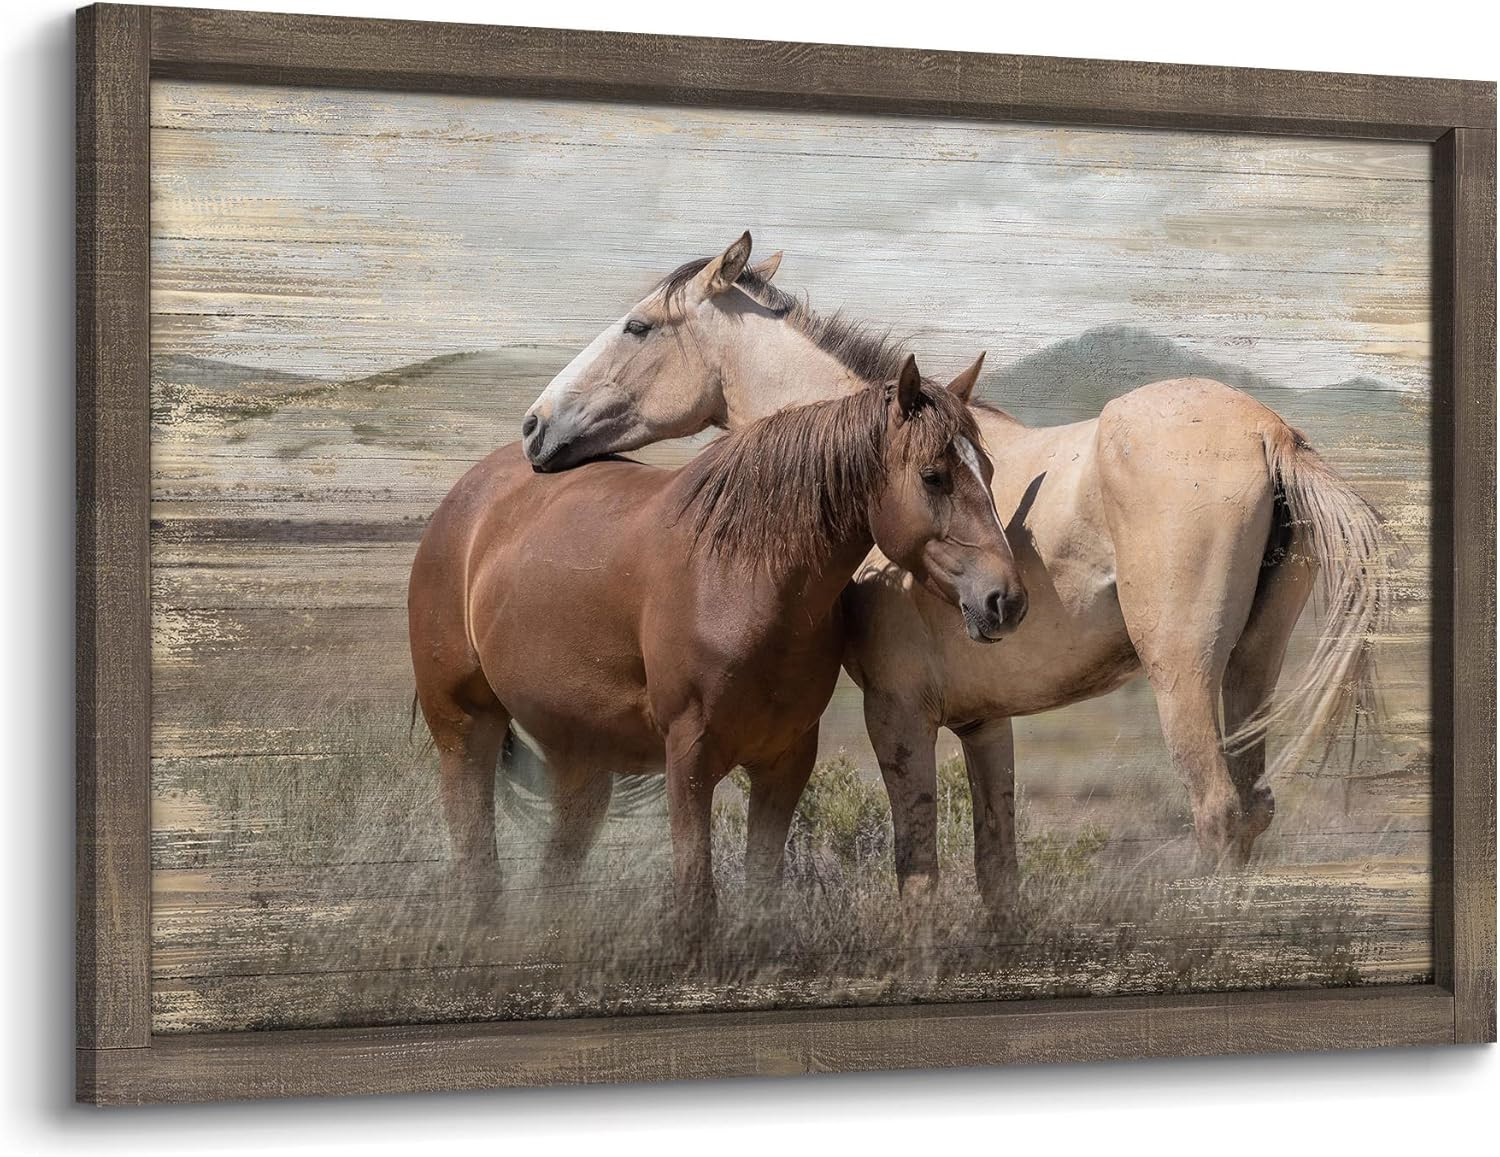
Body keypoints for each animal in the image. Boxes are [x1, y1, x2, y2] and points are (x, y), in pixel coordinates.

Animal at [409, 352, 1025, 922]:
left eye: (989, 472)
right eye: (933, 475)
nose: (1007, 600)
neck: (744, 575)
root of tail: (465, 501)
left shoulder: (785, 761)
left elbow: (761, 895)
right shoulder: (689, 758)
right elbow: (697, 900)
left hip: (580, 758)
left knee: (553, 880)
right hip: (465, 728)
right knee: (478, 868)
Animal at [521, 232, 1388, 914]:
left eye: (637, 325)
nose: (534, 427)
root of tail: (1271, 433)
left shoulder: (899, 712)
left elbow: (919, 871)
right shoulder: (984, 720)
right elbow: (995, 866)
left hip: (1183, 674)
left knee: (1217, 811)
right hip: (1250, 671)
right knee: (1253, 807)